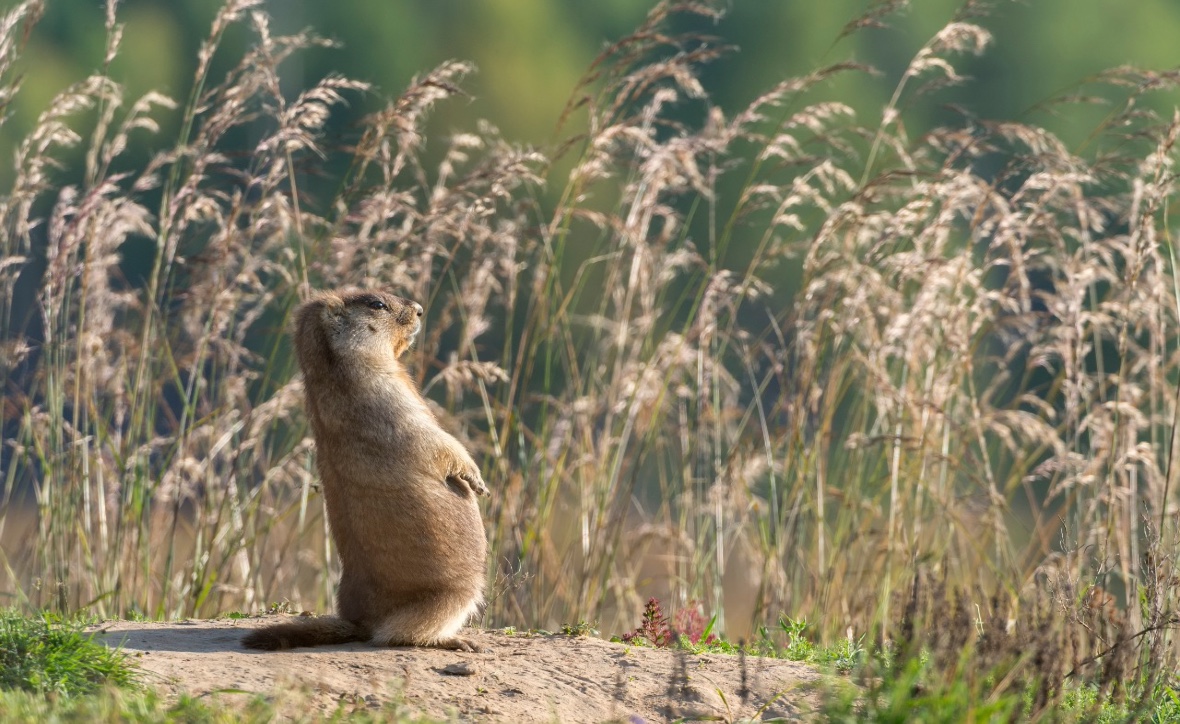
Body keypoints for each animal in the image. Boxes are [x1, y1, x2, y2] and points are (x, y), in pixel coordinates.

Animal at [244, 292, 488, 655]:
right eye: (377, 304)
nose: (419, 310)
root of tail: (359, 623)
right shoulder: (386, 399)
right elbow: (433, 439)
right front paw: (477, 478)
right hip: (455, 593)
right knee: (399, 634)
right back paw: (455, 640)